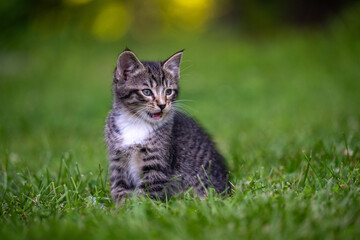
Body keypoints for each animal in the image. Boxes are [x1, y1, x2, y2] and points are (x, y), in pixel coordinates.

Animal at [105, 49, 228, 203]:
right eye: (147, 92)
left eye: (168, 91)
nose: (162, 105)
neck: (136, 123)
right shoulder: (118, 162)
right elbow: (120, 189)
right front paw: (122, 208)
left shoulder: (156, 165)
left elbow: (147, 193)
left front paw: (140, 207)